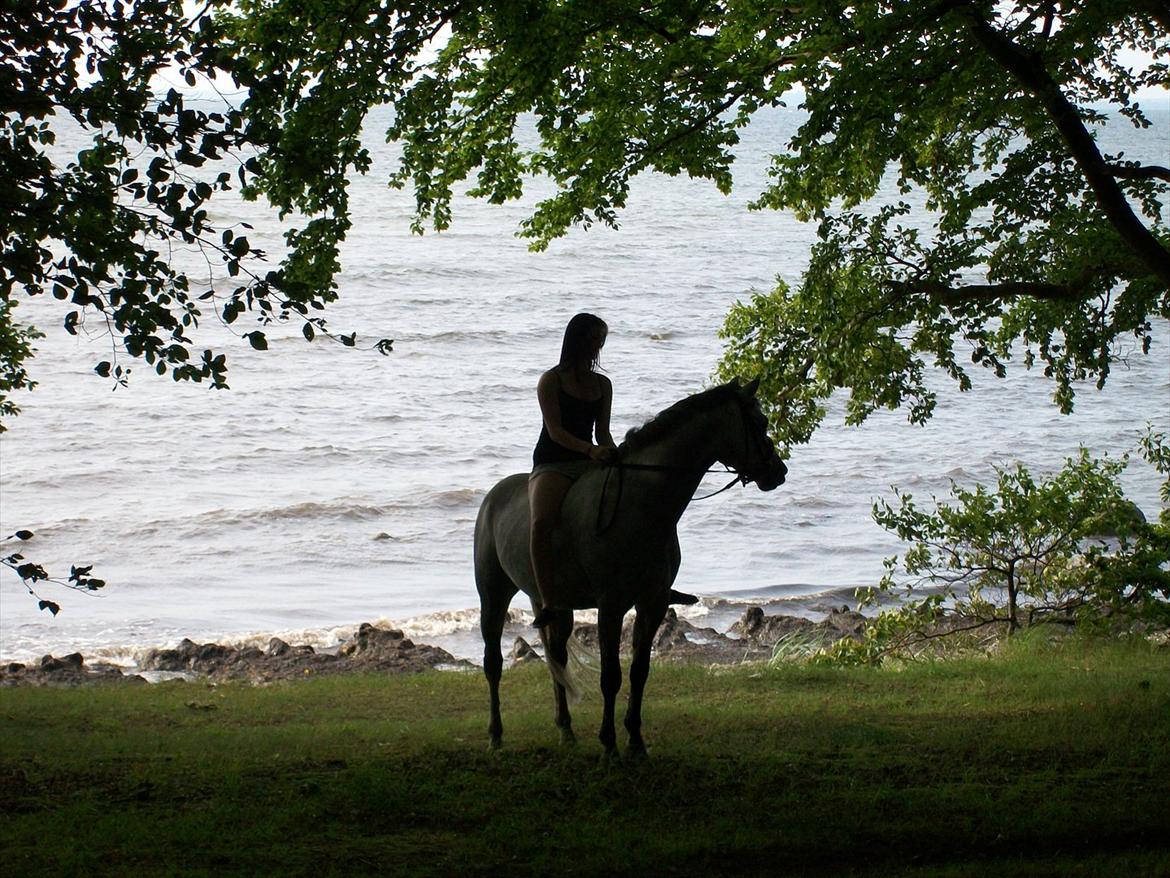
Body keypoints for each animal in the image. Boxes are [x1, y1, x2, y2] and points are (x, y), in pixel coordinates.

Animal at [472, 376, 786, 758]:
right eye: (760, 422)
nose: (778, 472)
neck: (641, 505)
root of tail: (493, 497)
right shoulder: (611, 606)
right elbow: (611, 677)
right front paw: (609, 744)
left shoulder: (652, 602)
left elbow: (639, 672)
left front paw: (635, 741)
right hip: (493, 596)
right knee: (493, 664)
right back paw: (495, 735)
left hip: (555, 605)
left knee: (556, 658)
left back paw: (566, 730)